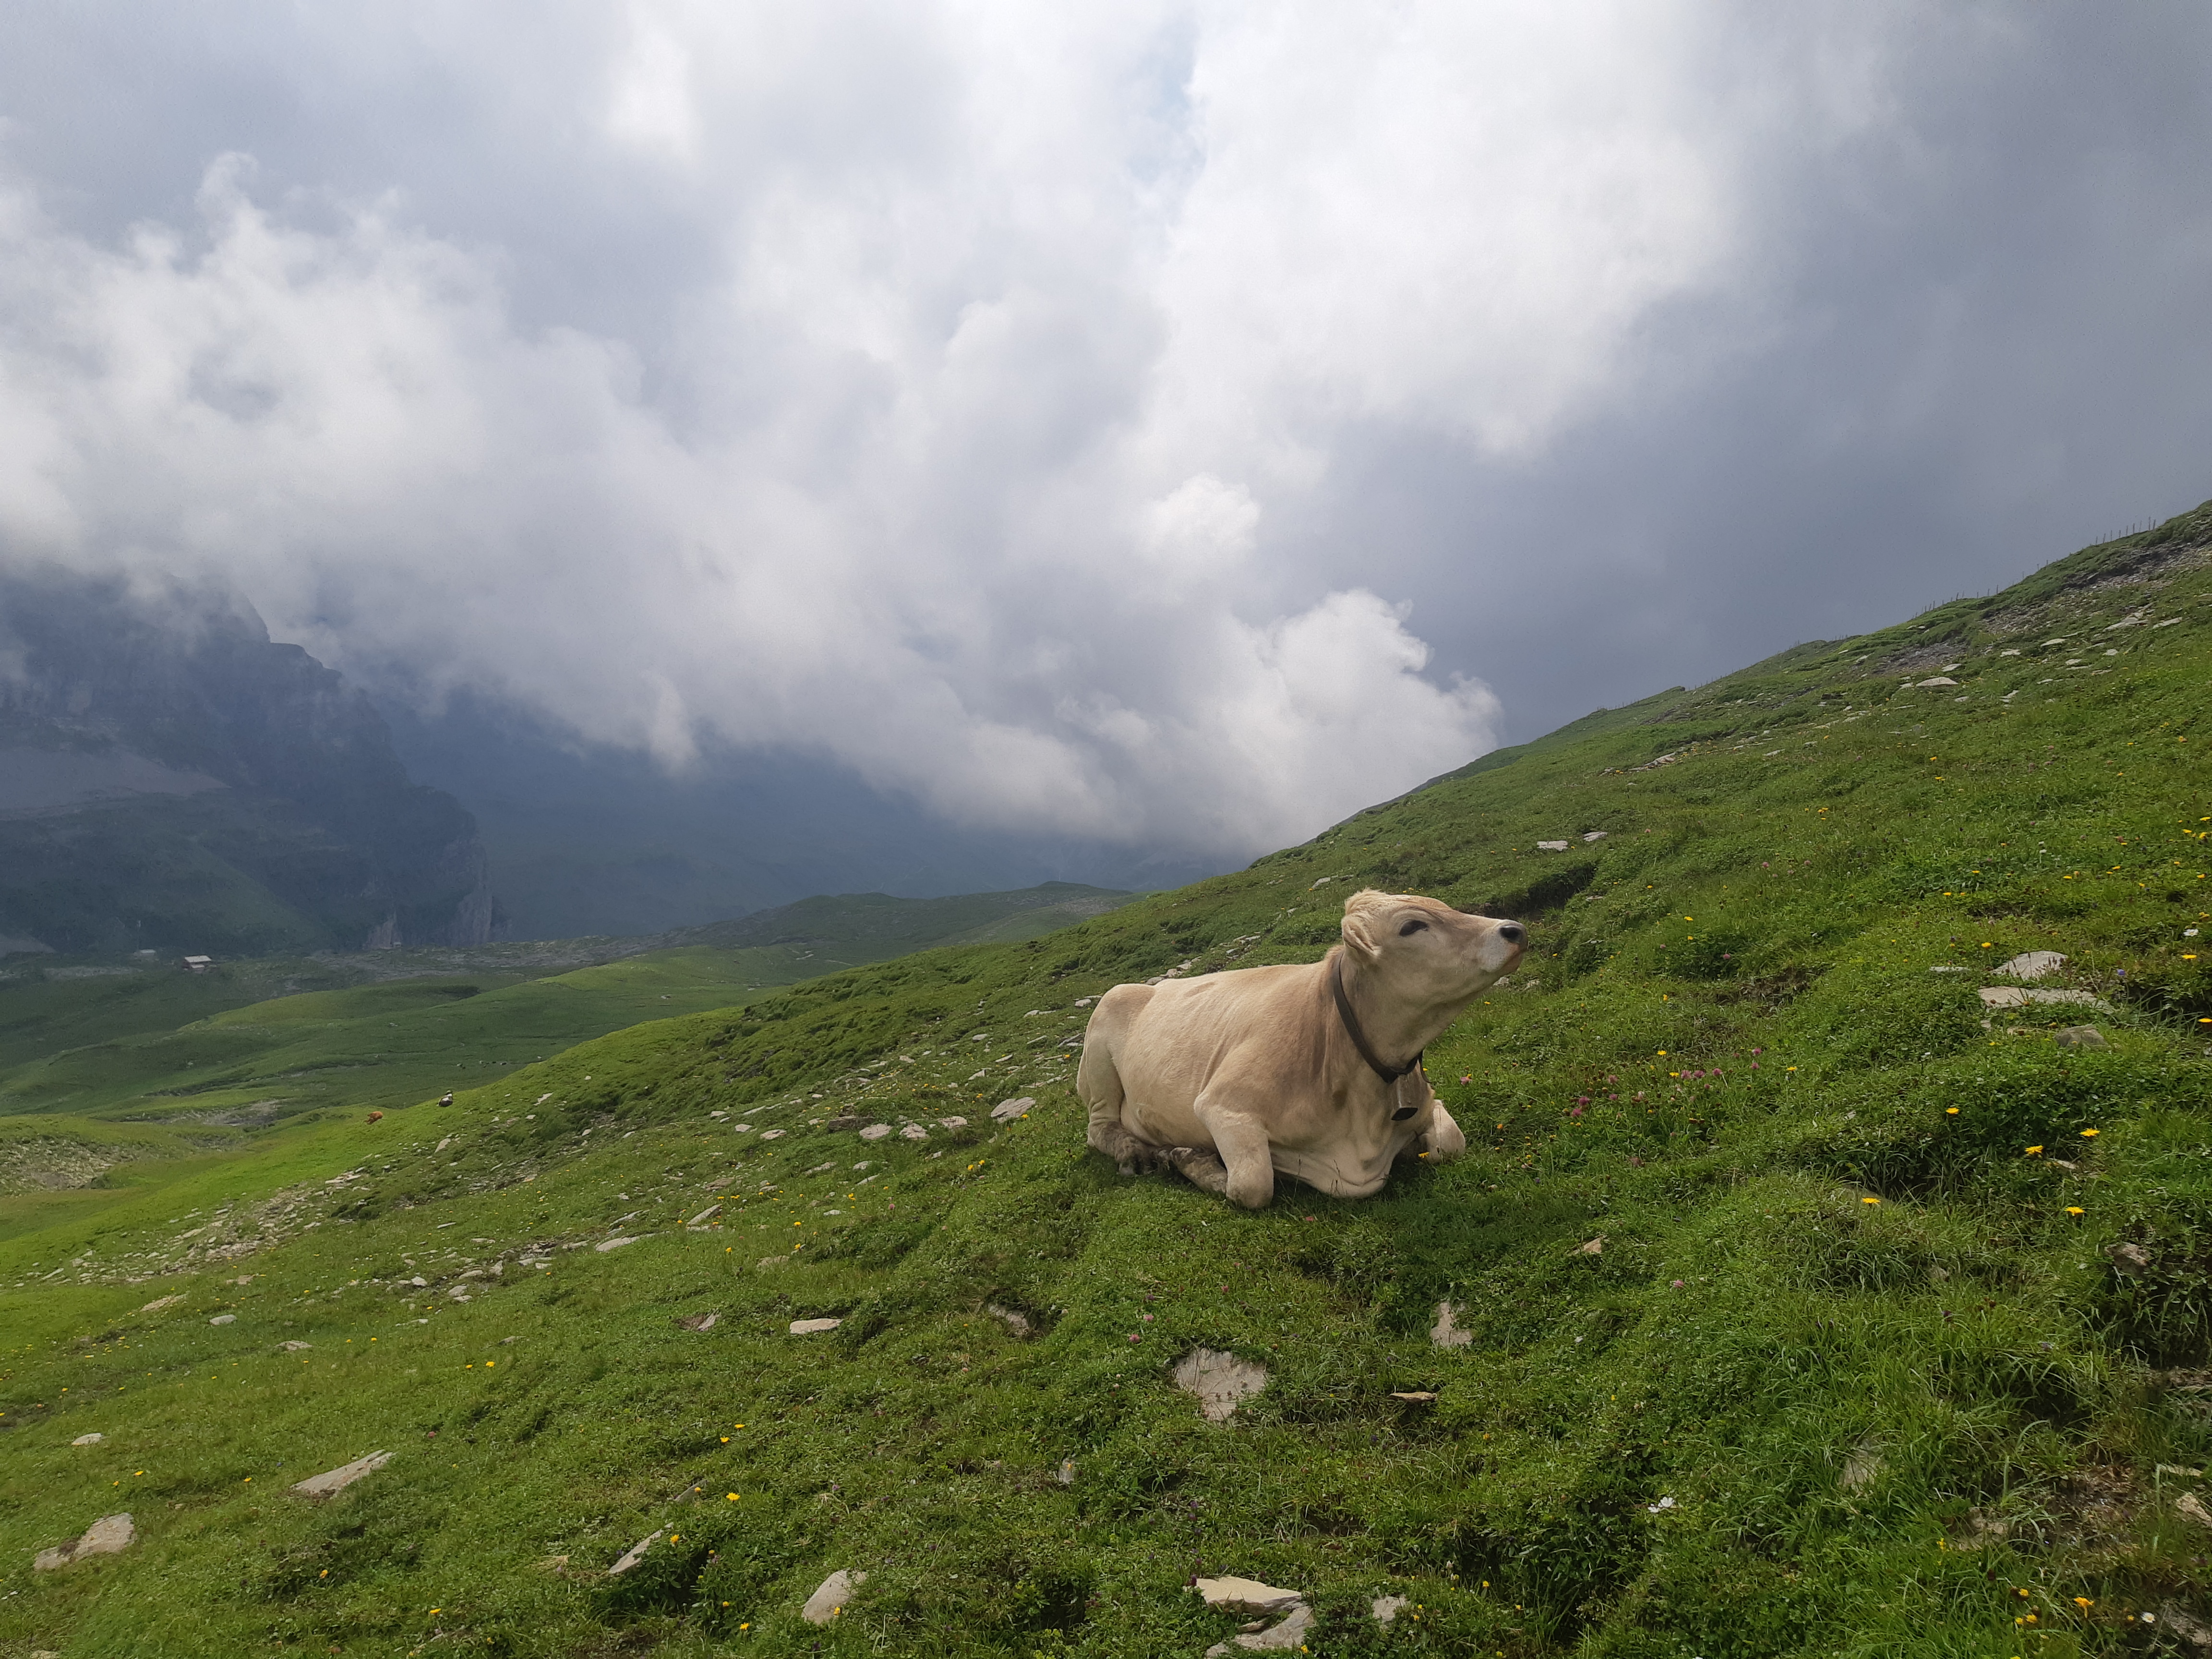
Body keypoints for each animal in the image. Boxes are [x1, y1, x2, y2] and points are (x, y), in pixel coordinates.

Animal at [1078, 888, 1525, 1208]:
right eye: (1413, 925)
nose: (1514, 930)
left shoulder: (1427, 1099)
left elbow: (1451, 1143)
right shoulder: (1221, 1104)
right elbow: (1253, 1186)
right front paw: (1191, 1158)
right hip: (1101, 1044)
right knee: (1100, 1128)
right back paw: (1137, 1152)